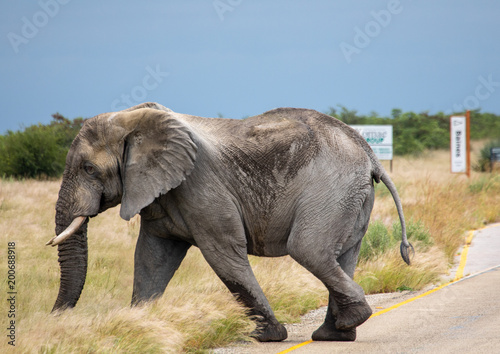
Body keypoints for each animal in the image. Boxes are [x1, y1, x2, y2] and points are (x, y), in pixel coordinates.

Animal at [47, 101, 412, 340]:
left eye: (89, 169)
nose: (54, 319)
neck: (133, 120)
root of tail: (368, 153)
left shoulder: (199, 184)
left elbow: (221, 252)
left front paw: (267, 337)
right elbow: (152, 258)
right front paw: (139, 328)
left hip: (332, 188)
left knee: (308, 249)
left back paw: (350, 321)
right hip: (352, 196)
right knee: (343, 254)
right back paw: (334, 334)